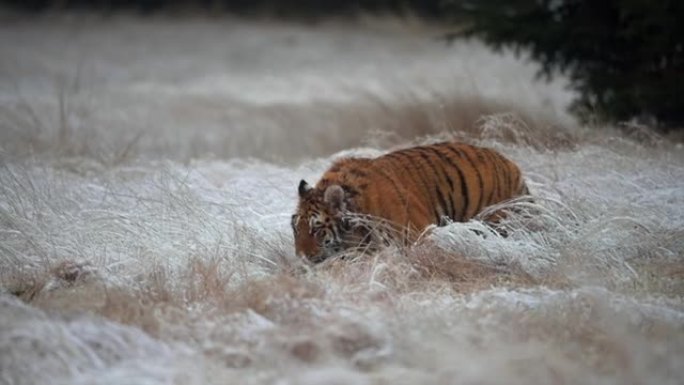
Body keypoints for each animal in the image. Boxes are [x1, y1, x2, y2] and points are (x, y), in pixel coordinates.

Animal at [292, 141, 532, 264]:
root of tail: (511, 165)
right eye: (296, 230)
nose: (302, 258)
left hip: (496, 222)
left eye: (316, 229)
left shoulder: (418, 236)